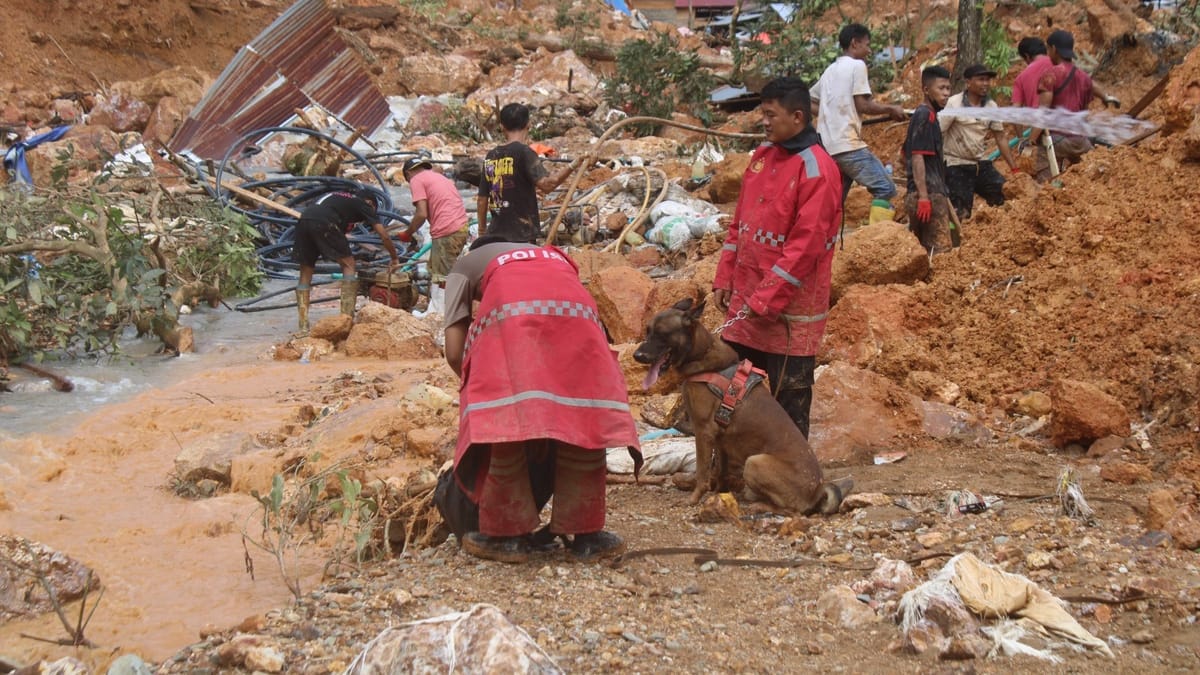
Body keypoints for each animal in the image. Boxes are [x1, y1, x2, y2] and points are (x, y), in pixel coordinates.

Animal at [633, 296, 849, 511]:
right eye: (648, 331)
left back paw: (760, 506)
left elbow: (702, 471)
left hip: (754, 462)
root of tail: (818, 490)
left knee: (791, 509)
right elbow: (719, 470)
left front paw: (694, 498)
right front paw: (718, 493)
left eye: (662, 334)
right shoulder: (720, 439)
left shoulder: (703, 431)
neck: (702, 354)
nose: (637, 356)